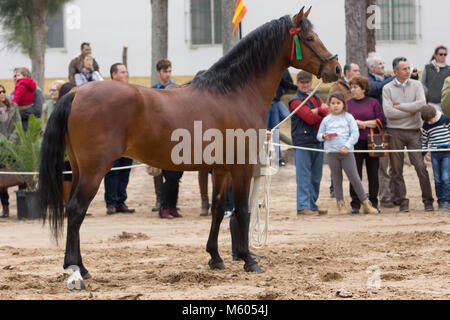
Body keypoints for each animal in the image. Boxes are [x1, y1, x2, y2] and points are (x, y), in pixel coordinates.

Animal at [39, 6, 342, 288]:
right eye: (310, 37)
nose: (336, 68)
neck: (234, 93)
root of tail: (76, 92)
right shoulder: (241, 166)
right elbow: (242, 210)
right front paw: (248, 259)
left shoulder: (221, 169)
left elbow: (219, 209)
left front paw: (216, 257)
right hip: (95, 170)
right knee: (76, 210)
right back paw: (76, 270)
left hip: (79, 169)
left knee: (73, 210)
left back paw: (82, 267)